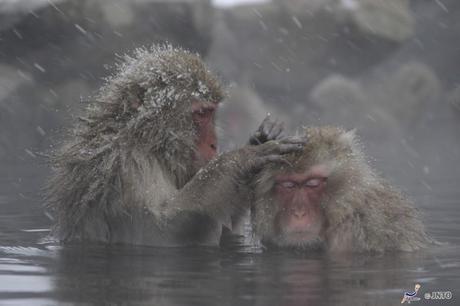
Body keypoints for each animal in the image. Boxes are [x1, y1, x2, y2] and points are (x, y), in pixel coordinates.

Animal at [45, 45, 304, 246]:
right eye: (201, 114)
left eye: (212, 113)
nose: (214, 144)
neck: (148, 142)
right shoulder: (125, 168)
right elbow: (160, 232)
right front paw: (243, 158)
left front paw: (262, 137)